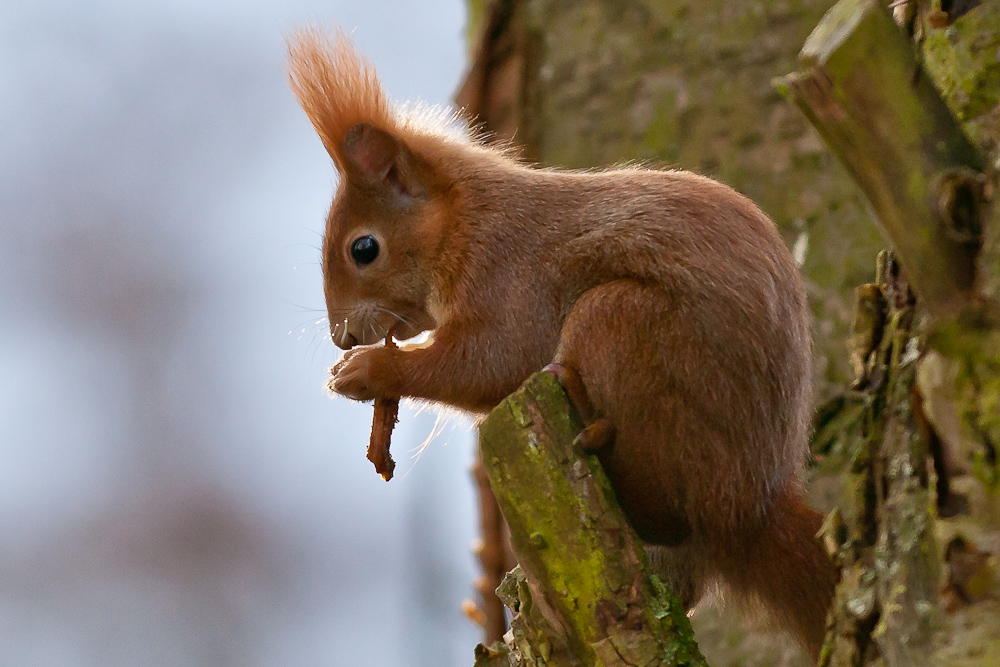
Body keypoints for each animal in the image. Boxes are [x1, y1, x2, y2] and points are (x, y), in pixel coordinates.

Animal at [288, 30, 836, 656]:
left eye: (364, 249)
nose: (342, 337)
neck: (468, 223)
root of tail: (750, 508)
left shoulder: (511, 279)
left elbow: (491, 364)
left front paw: (366, 372)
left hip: (623, 327)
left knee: (665, 509)